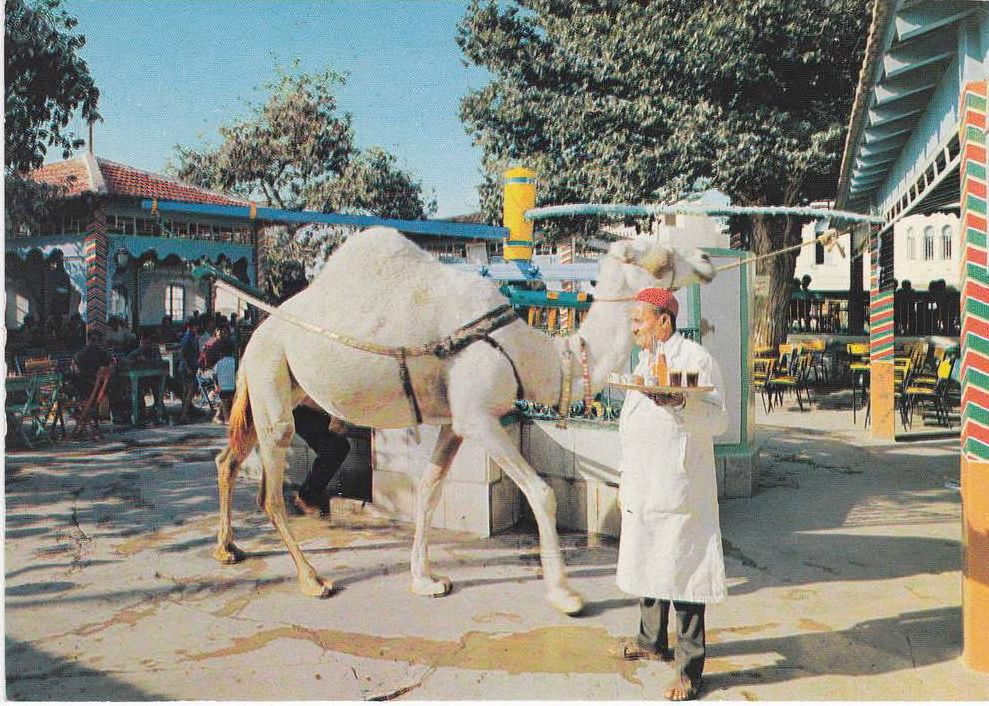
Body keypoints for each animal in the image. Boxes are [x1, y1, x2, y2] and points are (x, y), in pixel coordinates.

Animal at [213, 226, 715, 615]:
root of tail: (258, 331)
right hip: (271, 373)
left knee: (228, 459)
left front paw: (425, 580)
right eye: (660, 256)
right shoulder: (478, 418)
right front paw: (565, 594)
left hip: (274, 383)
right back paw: (312, 580)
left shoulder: (454, 422)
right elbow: (542, 492)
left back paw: (228, 548)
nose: (709, 258)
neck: (529, 350)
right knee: (269, 491)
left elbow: (428, 491)